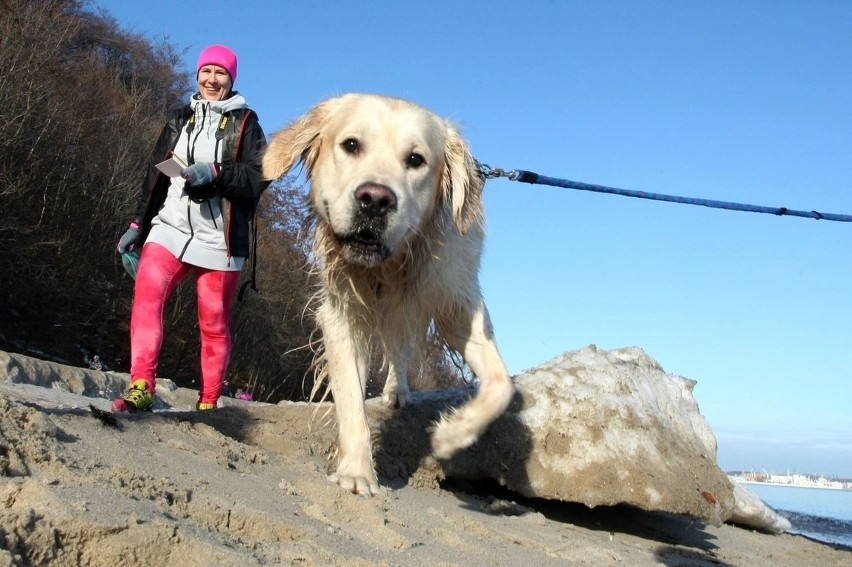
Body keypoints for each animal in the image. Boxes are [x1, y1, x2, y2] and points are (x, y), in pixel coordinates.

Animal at [260, 94, 512, 496]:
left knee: (401, 351)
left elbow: (502, 385)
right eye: (351, 145)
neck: (389, 267)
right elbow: (351, 400)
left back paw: (398, 391)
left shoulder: (457, 302)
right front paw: (357, 471)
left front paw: (453, 434)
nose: (375, 200)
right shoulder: (341, 314)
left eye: (416, 159)